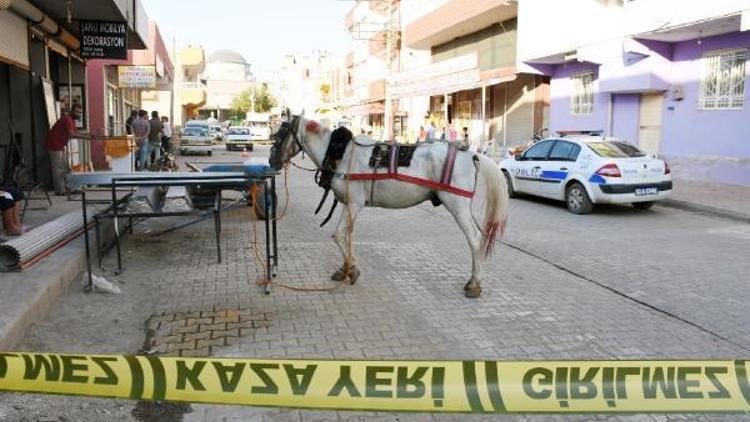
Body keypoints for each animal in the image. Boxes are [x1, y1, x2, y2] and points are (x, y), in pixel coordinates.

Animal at [270, 112, 512, 296]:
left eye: (280, 135)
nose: (272, 161)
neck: (342, 153)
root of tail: (472, 155)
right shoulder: (349, 204)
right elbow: (347, 235)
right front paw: (345, 268)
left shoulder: (355, 203)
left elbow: (339, 235)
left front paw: (352, 270)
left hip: (458, 205)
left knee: (474, 238)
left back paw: (474, 283)